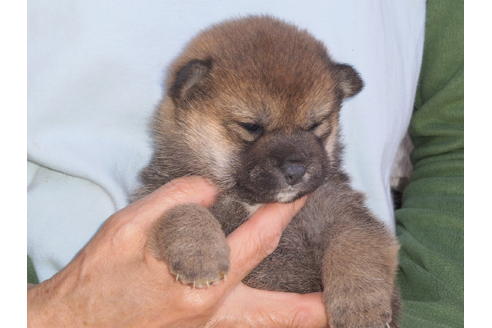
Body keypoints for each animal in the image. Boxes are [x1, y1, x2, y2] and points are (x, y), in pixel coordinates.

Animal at [135, 15, 400, 328]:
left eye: (315, 125)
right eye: (251, 127)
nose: (296, 169)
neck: (252, 202)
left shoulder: (345, 212)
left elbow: (355, 247)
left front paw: (360, 306)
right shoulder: (154, 200)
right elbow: (182, 210)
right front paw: (200, 254)